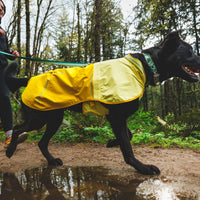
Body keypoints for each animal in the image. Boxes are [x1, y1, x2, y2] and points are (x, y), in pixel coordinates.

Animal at [5, 31, 199, 175]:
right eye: (189, 51)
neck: (143, 66)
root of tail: (29, 79)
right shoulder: (116, 117)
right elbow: (127, 148)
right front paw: (142, 168)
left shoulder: (116, 117)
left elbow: (128, 135)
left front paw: (112, 142)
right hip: (40, 118)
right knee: (18, 129)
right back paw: (10, 150)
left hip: (54, 118)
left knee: (41, 143)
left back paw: (52, 160)